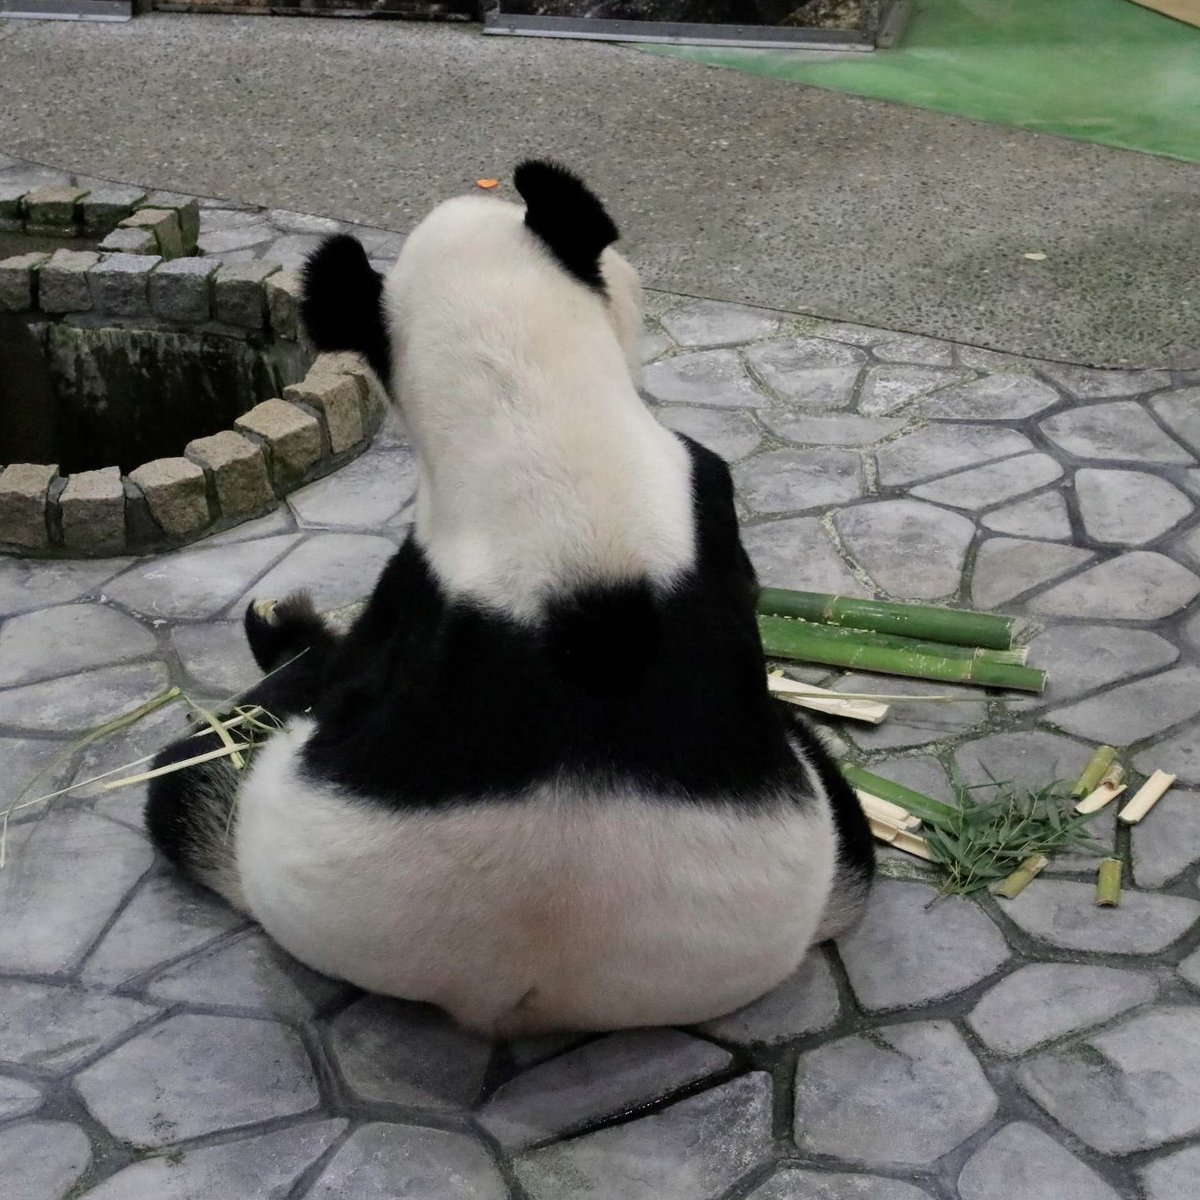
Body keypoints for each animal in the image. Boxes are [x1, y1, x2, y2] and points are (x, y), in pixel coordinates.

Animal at [145, 161, 874, 1037]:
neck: (527, 408)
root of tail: (517, 1000)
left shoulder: (421, 584)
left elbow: (338, 674)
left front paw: (299, 634)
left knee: (199, 768)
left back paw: (279, 630)